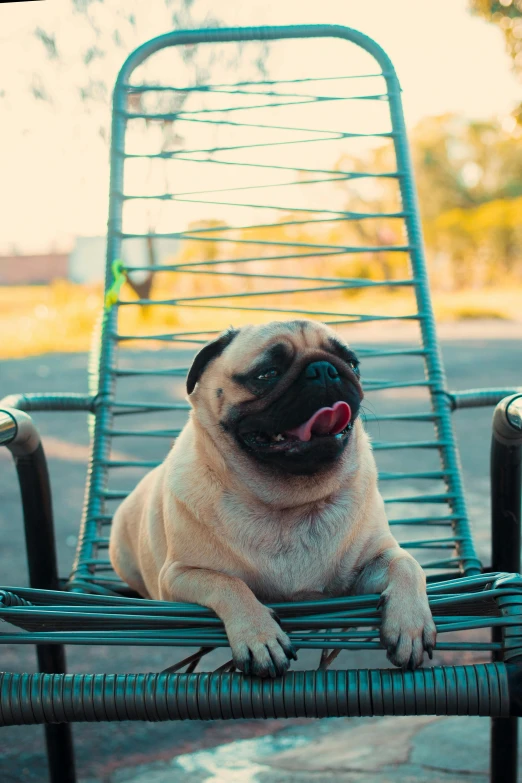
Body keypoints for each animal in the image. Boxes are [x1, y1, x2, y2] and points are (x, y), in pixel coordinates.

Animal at [109, 322, 434, 676]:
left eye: (352, 363)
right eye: (267, 373)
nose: (324, 369)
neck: (290, 503)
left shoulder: (371, 564)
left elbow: (407, 564)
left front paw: (410, 624)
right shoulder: (178, 577)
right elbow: (228, 584)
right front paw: (259, 637)